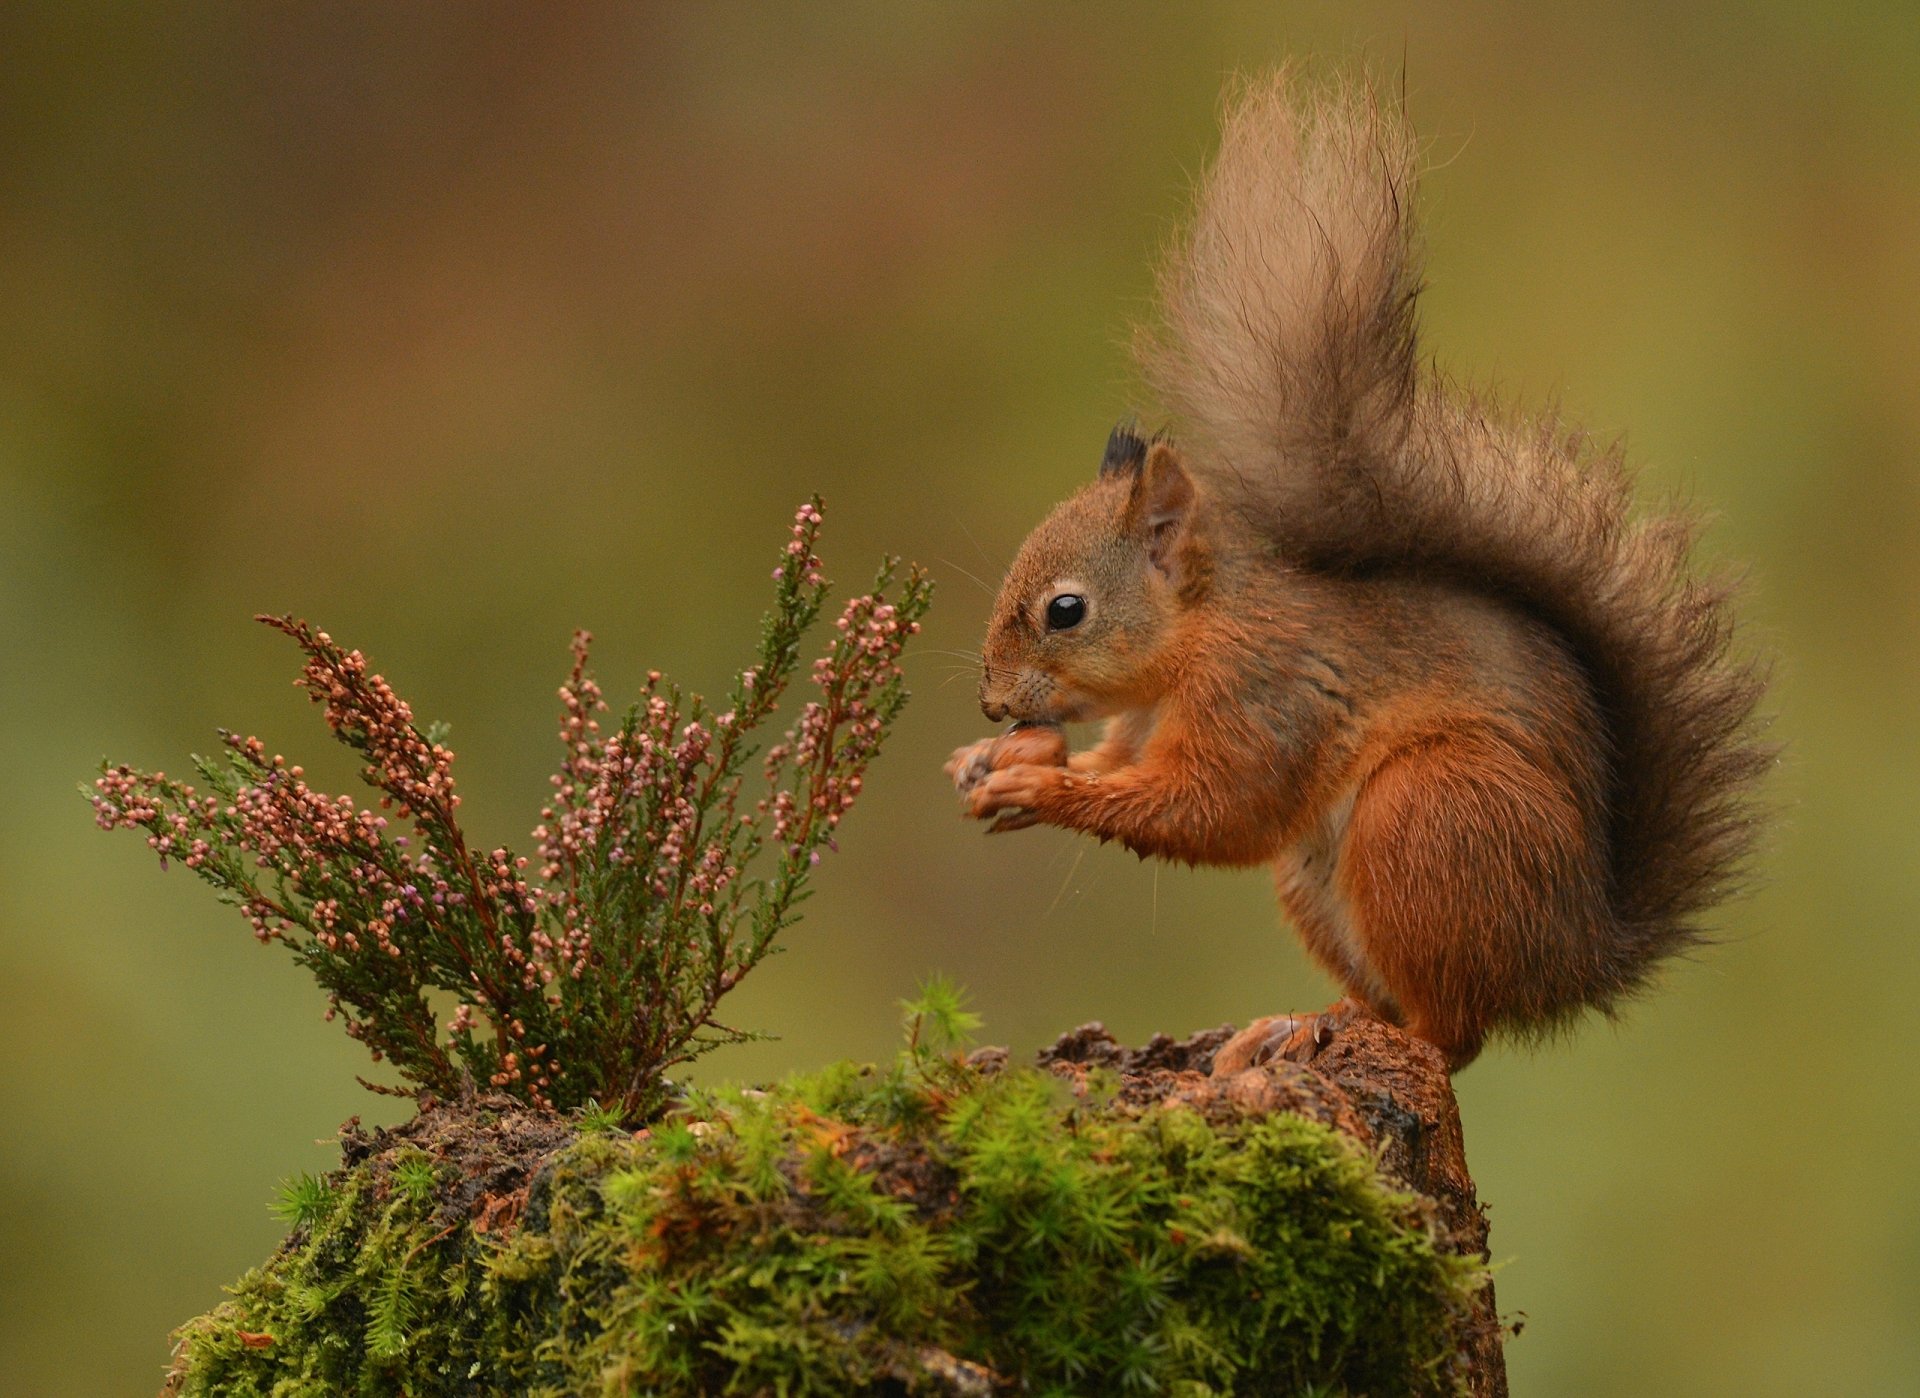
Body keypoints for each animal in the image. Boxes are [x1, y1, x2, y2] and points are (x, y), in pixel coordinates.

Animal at [945, 71, 1771, 1072]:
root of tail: (1575, 959)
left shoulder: (1264, 697)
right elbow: (1123, 767)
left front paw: (1039, 784)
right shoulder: (1143, 724)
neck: (1198, 634)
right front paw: (989, 760)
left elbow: (1213, 809)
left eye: (1065, 611)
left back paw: (1346, 1030)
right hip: (1318, 880)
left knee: (1451, 1035)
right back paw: (1293, 1024)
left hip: (1428, 820)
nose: (992, 703)